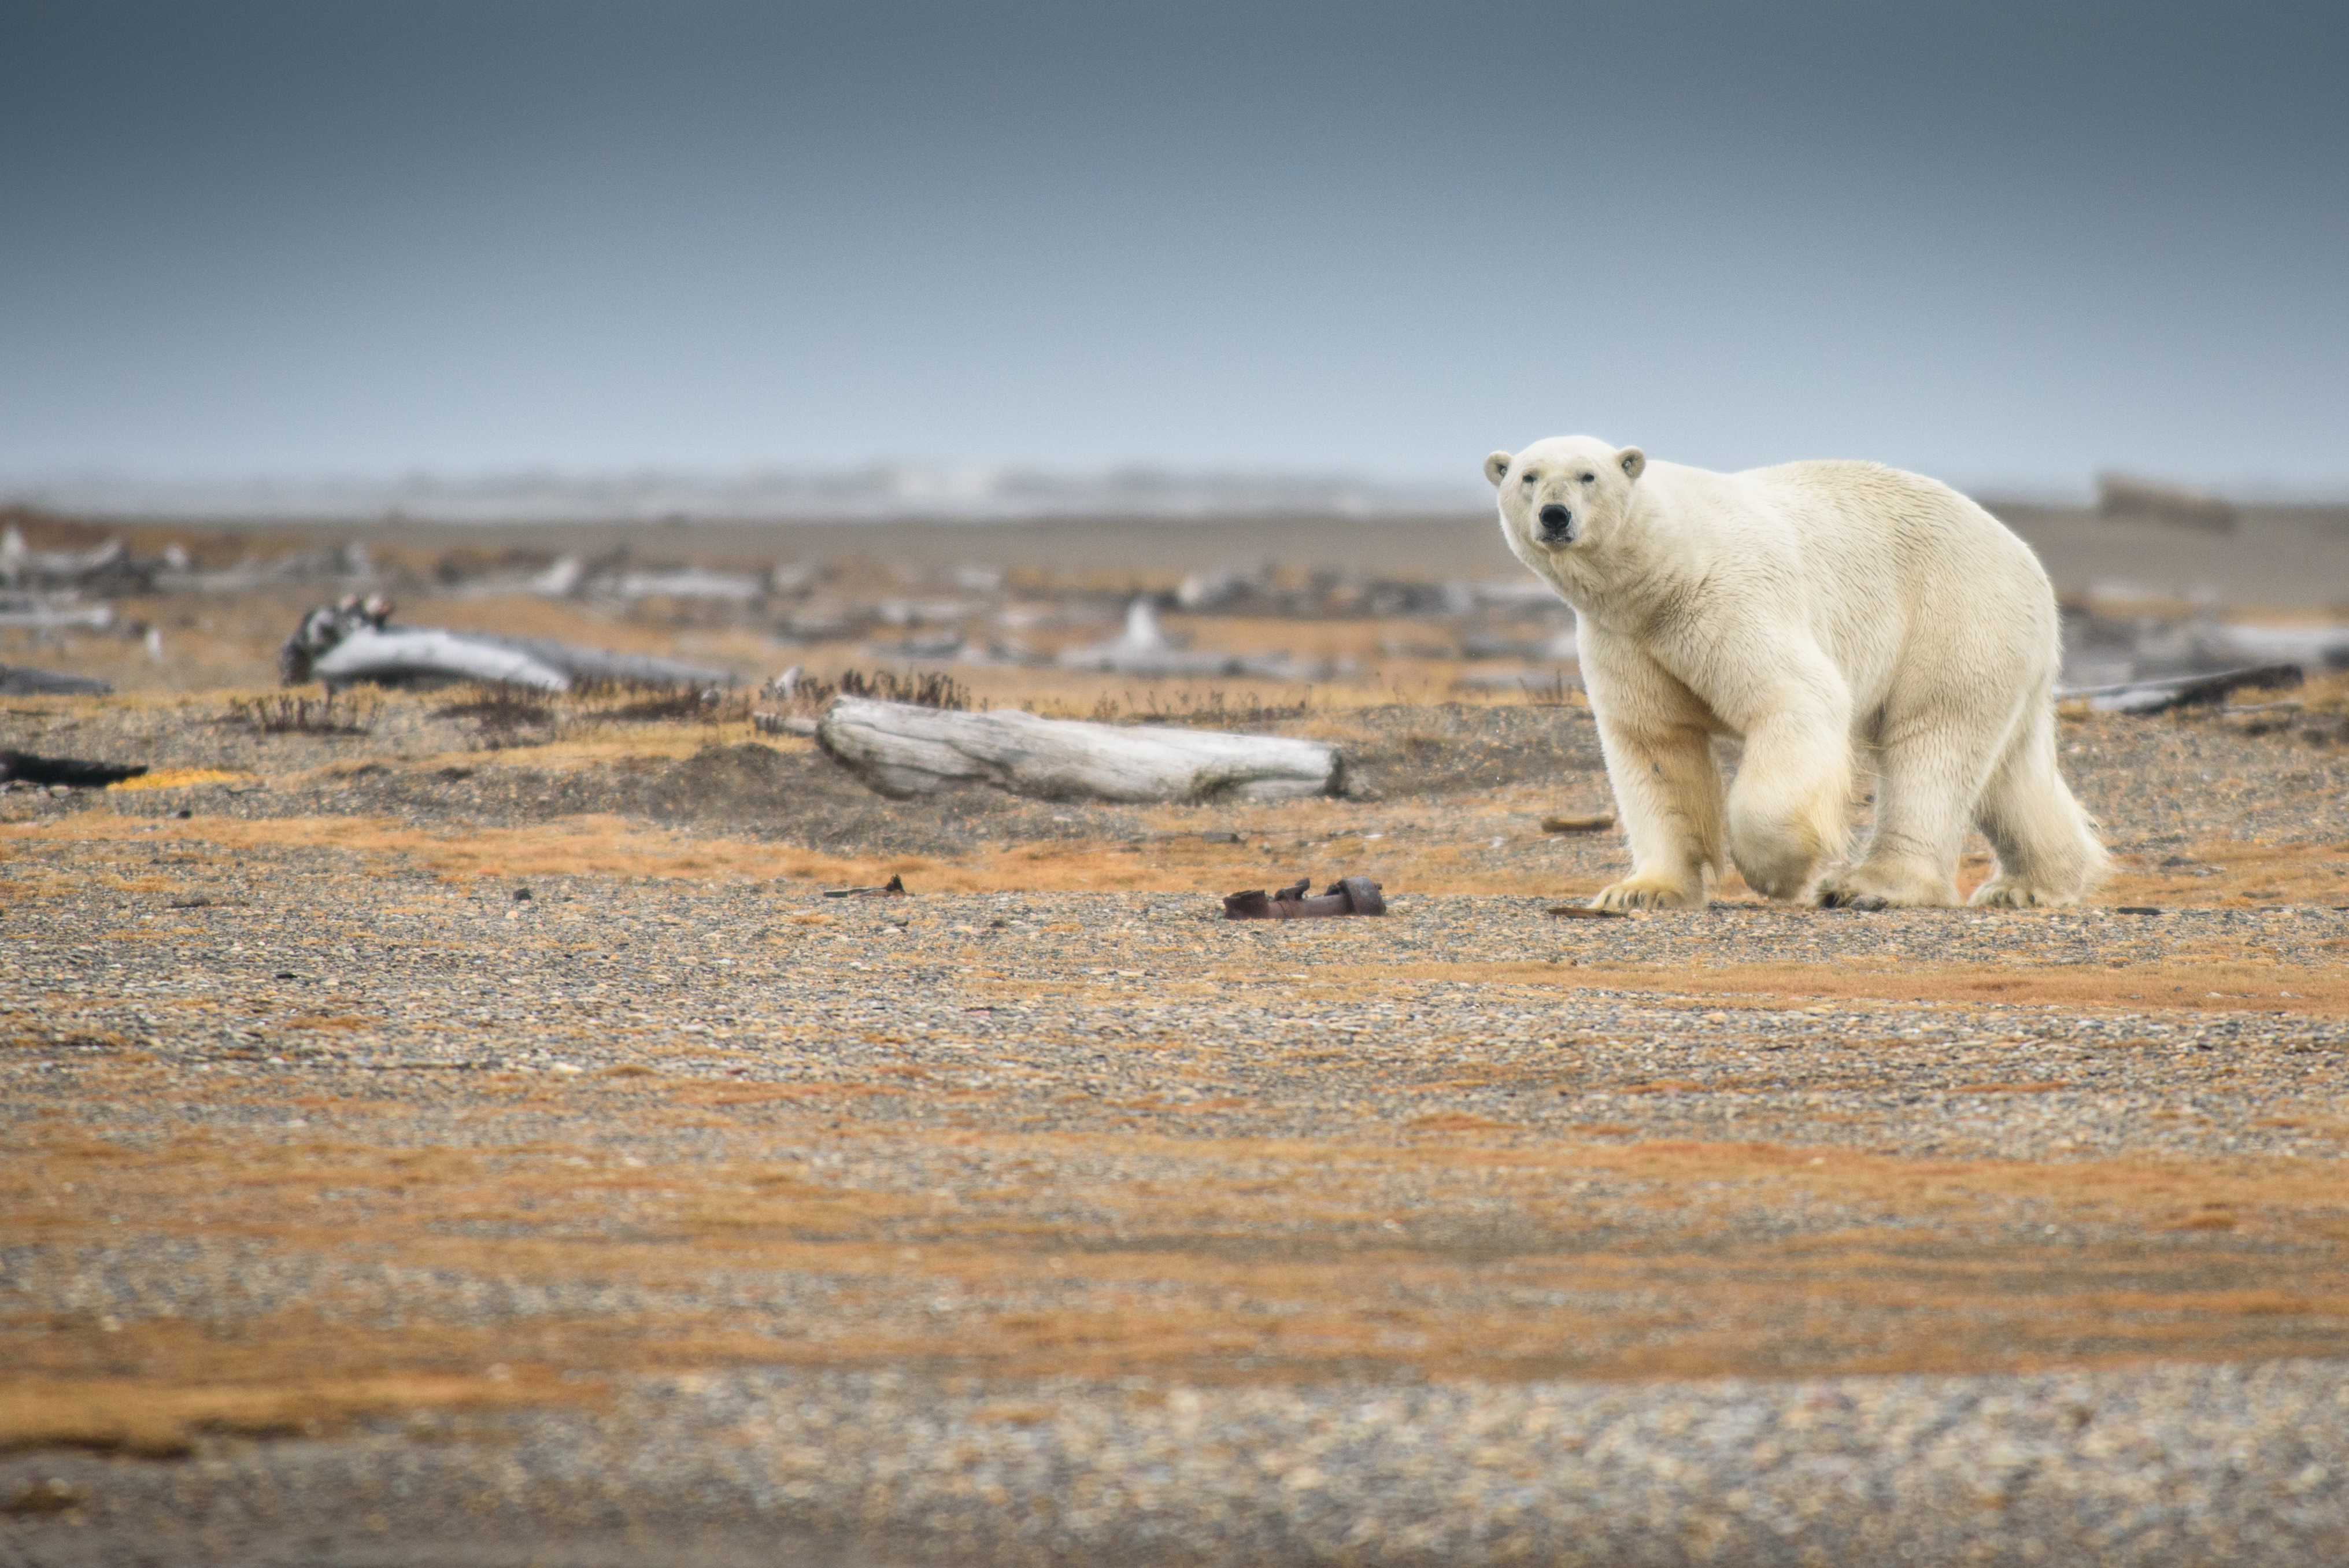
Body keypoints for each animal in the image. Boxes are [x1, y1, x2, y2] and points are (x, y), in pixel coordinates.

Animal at [1484, 435, 2114, 912]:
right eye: (1528, 477)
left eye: (1587, 475)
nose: (1555, 516)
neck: (1661, 573)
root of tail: (2028, 563)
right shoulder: (1625, 639)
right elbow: (1653, 744)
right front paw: (1640, 891)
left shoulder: (1726, 601)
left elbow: (1796, 697)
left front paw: (1777, 873)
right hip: (2001, 646)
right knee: (2010, 771)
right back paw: (2029, 886)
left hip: (1954, 617)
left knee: (1932, 742)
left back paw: (1869, 886)